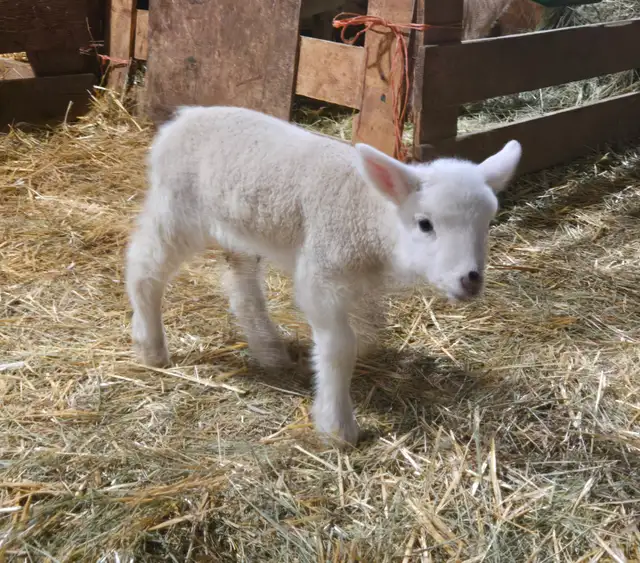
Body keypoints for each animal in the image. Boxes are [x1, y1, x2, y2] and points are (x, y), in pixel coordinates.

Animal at [125, 105, 522, 446]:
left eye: (488, 222)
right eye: (425, 224)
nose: (470, 279)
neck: (368, 213)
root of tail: (183, 118)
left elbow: (369, 328)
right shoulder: (322, 274)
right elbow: (339, 347)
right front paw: (337, 425)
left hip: (239, 226)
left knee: (240, 283)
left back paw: (268, 349)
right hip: (177, 210)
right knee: (143, 266)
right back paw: (151, 347)